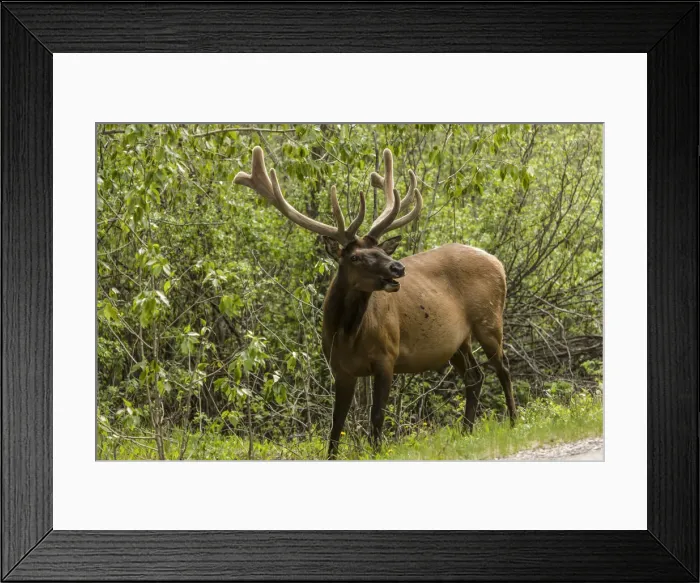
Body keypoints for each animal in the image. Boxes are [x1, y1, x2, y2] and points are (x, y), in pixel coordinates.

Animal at [234, 146, 517, 458]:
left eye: (382, 250)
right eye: (356, 257)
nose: (397, 268)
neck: (348, 336)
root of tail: (497, 262)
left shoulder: (387, 356)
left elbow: (377, 415)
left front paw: (377, 451)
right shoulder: (340, 369)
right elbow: (336, 423)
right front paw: (332, 456)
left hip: (489, 319)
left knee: (503, 367)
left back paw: (514, 421)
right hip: (457, 341)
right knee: (474, 375)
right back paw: (466, 430)